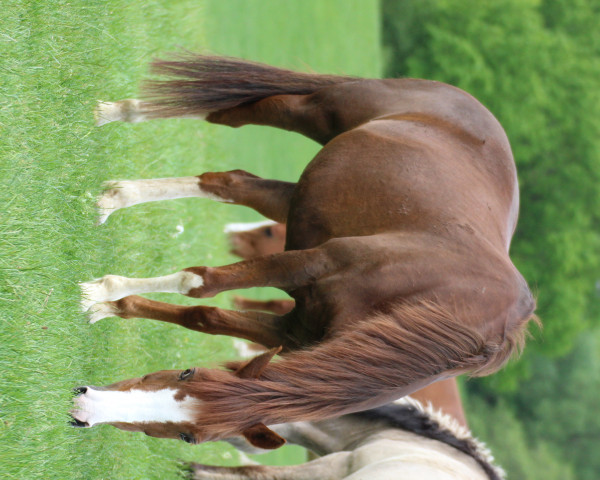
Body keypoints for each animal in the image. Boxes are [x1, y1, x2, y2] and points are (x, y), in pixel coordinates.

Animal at [72, 54, 536, 448]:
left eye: (190, 436)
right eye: (185, 371)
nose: (84, 406)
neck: (434, 296)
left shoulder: (291, 333)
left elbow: (205, 316)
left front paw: (113, 306)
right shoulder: (309, 263)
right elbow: (201, 283)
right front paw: (103, 292)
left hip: (298, 198)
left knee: (229, 182)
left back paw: (117, 194)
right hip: (313, 112)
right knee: (233, 114)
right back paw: (117, 114)